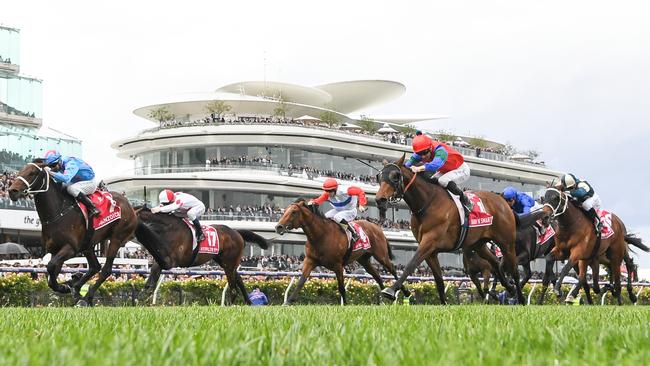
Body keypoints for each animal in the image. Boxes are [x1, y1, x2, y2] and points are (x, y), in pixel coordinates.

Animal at [7, 160, 137, 306]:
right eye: (20, 171)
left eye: (32, 173)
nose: (12, 191)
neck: (58, 213)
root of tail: (130, 205)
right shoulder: (54, 250)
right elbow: (51, 275)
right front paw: (66, 286)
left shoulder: (71, 248)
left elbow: (51, 266)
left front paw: (66, 286)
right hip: (88, 245)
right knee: (95, 267)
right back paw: (77, 288)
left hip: (116, 239)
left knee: (106, 270)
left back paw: (86, 297)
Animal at [135, 207, 270, 304]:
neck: (168, 228)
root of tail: (236, 232)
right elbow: (154, 271)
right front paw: (143, 295)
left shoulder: (172, 259)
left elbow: (159, 266)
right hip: (225, 261)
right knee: (239, 280)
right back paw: (248, 302)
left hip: (229, 262)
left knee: (233, 287)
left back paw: (229, 305)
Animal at [272, 199, 404, 304]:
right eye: (285, 211)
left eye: (293, 212)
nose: (278, 227)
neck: (321, 235)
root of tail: (378, 228)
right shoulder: (310, 260)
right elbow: (301, 281)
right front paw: (288, 301)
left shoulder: (338, 265)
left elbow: (341, 287)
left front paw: (344, 305)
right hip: (364, 259)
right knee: (377, 276)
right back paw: (387, 294)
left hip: (381, 255)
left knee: (392, 269)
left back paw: (403, 292)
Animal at [372, 156, 544, 304]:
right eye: (379, 176)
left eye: (395, 176)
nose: (380, 199)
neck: (428, 203)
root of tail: (503, 201)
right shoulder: (431, 251)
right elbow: (439, 281)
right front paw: (443, 303)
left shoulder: (429, 243)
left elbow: (411, 264)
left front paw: (390, 290)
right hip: (479, 244)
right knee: (495, 263)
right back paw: (508, 288)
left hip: (506, 242)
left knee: (513, 268)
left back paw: (520, 297)